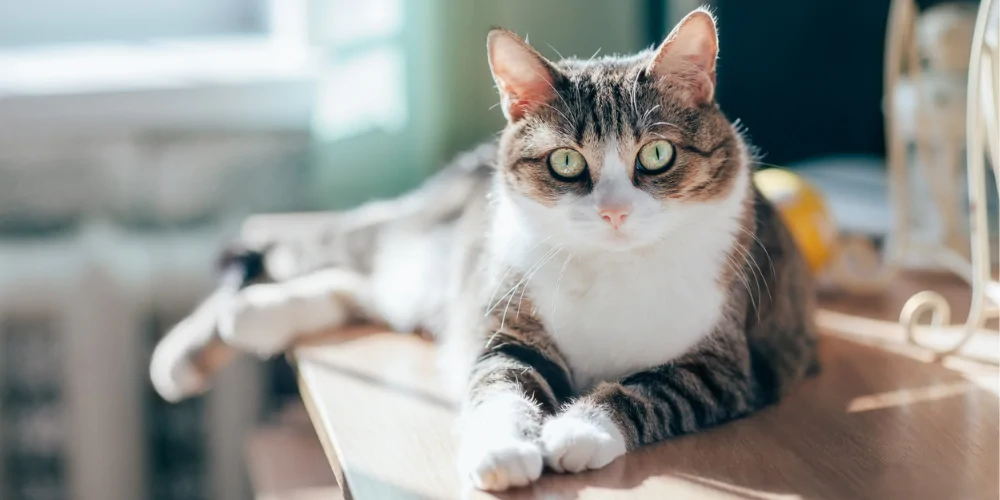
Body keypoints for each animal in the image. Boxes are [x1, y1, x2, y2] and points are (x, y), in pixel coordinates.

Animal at [150, 7, 820, 492]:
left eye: (656, 155)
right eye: (566, 162)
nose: (614, 212)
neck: (614, 266)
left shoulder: (730, 365)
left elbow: (649, 391)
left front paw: (578, 432)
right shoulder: (510, 328)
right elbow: (501, 386)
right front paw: (504, 452)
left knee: (358, 289)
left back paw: (252, 320)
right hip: (426, 253)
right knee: (319, 257)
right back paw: (187, 352)